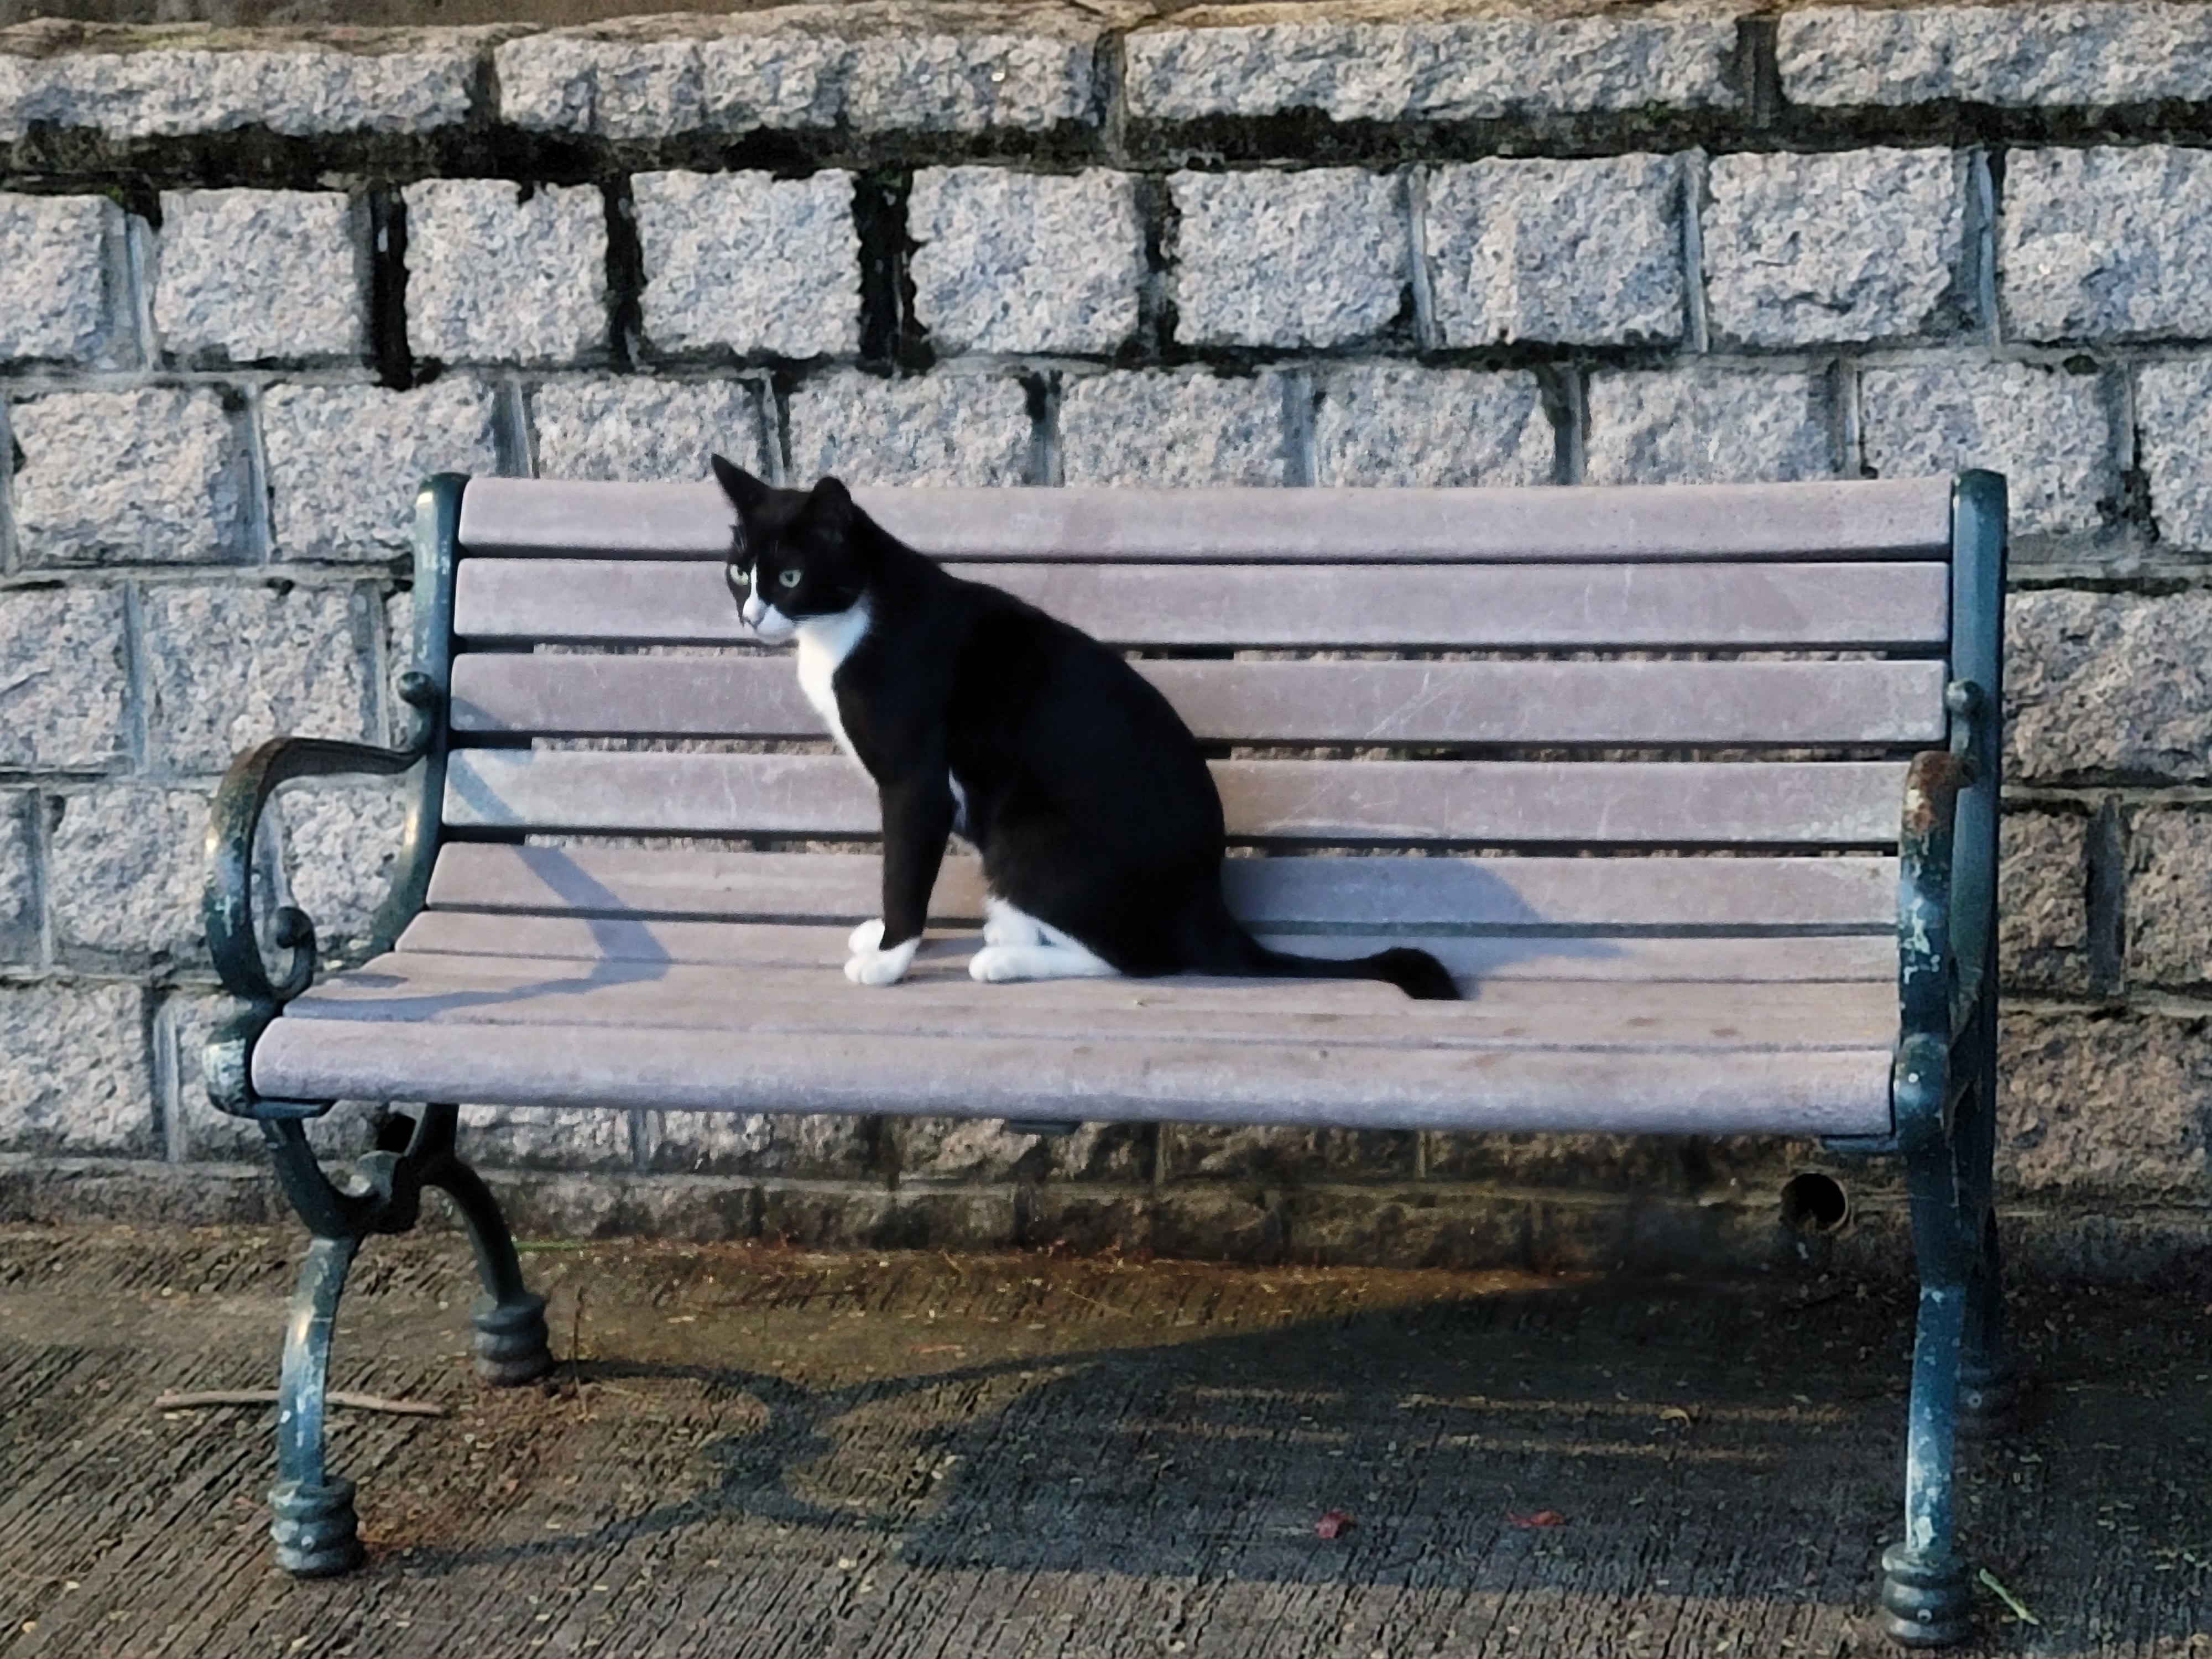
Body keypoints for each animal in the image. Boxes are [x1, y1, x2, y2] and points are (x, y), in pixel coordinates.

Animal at [713, 455, 1457, 1002]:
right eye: (737, 572)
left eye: (790, 576)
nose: (751, 616)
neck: (851, 620)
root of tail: (1209, 906)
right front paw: (880, 942)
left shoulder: (914, 783)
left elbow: (903, 873)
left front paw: (890, 960)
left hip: (1029, 839)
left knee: (1146, 960)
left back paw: (1006, 961)